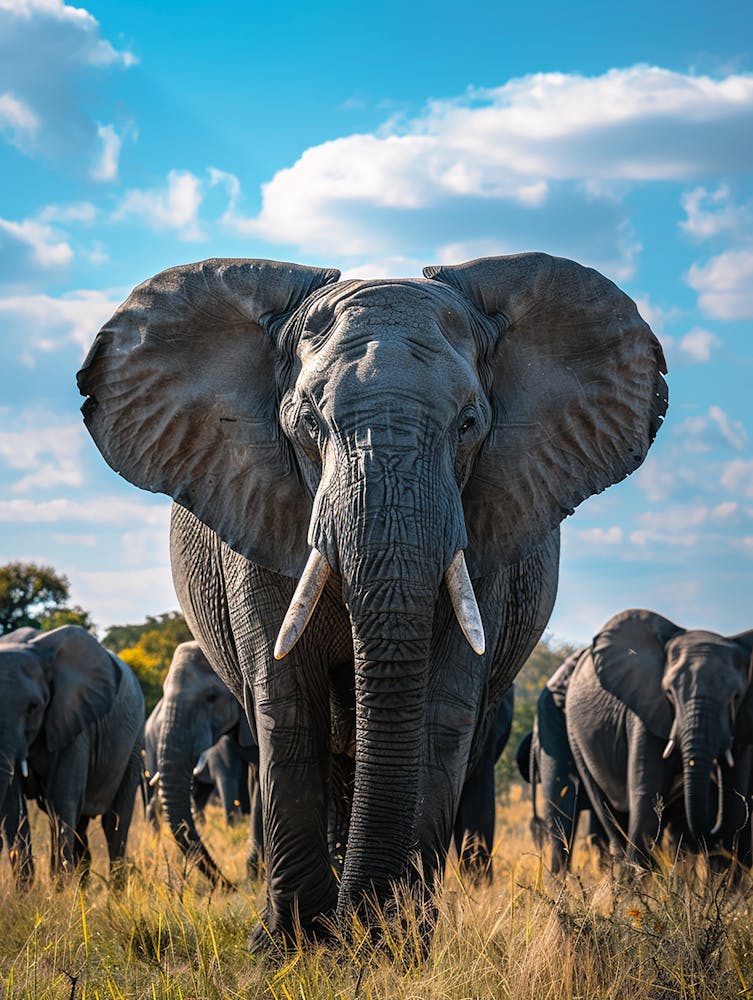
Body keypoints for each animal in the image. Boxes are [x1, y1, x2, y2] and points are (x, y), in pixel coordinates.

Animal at [0, 625, 145, 886]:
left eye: (34, 707)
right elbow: (14, 807)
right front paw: (26, 892)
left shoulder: (75, 720)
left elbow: (62, 798)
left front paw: (60, 890)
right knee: (78, 824)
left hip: (134, 743)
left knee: (114, 824)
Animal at [77, 252, 666, 941]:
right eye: (307, 422)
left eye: (469, 424)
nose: (362, 922)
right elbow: (288, 704)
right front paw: (290, 946)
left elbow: (439, 711)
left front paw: (390, 943)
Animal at [565, 609, 753, 867]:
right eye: (669, 693)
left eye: (736, 697)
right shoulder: (646, 707)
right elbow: (647, 796)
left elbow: (736, 804)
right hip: (576, 737)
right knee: (608, 811)